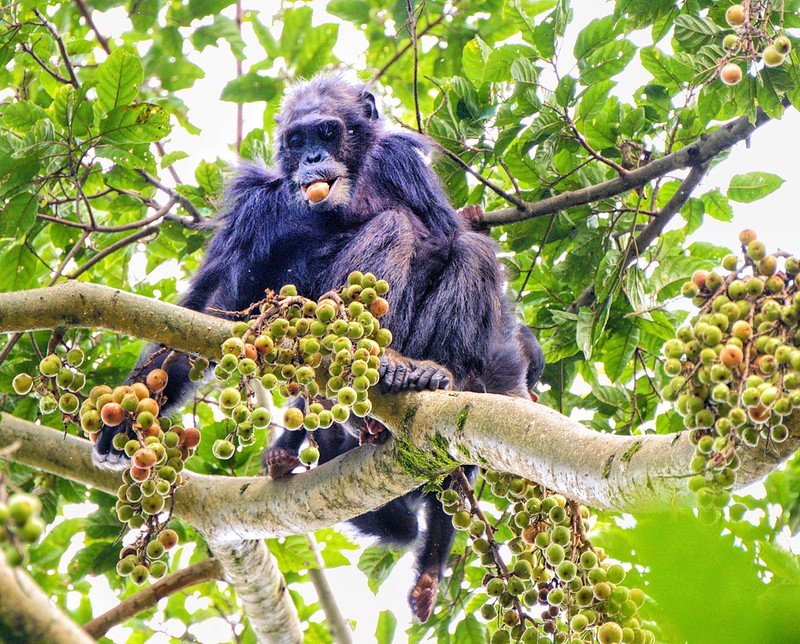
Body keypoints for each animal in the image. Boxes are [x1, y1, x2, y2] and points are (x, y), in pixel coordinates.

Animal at [92, 73, 543, 622]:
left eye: (327, 132)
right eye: (298, 139)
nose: (311, 157)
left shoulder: (404, 166)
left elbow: (450, 237)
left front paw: (509, 393)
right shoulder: (252, 211)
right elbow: (209, 306)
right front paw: (129, 415)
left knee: (464, 250)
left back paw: (431, 378)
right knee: (394, 228)